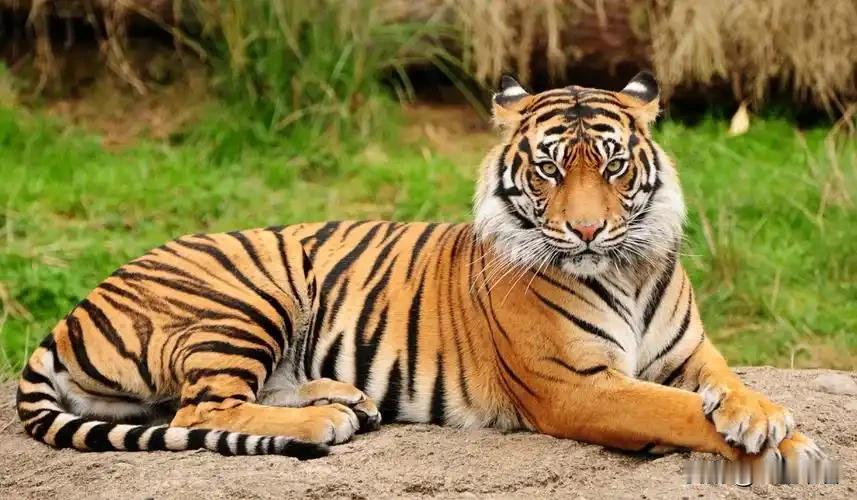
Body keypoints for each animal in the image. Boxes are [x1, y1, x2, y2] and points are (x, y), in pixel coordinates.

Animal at [16, 72, 825, 462]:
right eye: (549, 170)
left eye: (613, 165)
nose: (588, 229)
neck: (622, 269)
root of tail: (73, 311)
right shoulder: (576, 387)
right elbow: (674, 410)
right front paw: (788, 443)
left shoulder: (689, 352)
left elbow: (727, 385)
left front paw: (762, 415)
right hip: (246, 296)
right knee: (199, 408)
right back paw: (323, 423)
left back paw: (345, 400)